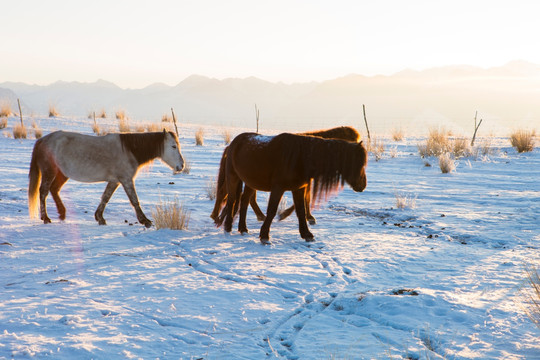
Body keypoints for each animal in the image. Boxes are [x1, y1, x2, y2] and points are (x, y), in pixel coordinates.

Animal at [210, 125, 358, 224]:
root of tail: (229, 147)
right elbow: (306, 198)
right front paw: (290, 215)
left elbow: (306, 198)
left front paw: (306, 216)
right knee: (226, 193)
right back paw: (216, 216)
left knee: (244, 197)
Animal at [218, 132, 368, 245]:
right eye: (358, 163)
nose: (363, 185)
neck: (299, 157)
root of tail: (233, 143)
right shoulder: (278, 188)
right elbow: (272, 210)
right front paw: (265, 236)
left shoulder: (299, 189)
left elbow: (301, 211)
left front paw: (307, 234)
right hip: (233, 177)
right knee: (232, 201)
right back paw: (228, 228)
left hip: (250, 182)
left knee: (244, 201)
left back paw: (243, 229)